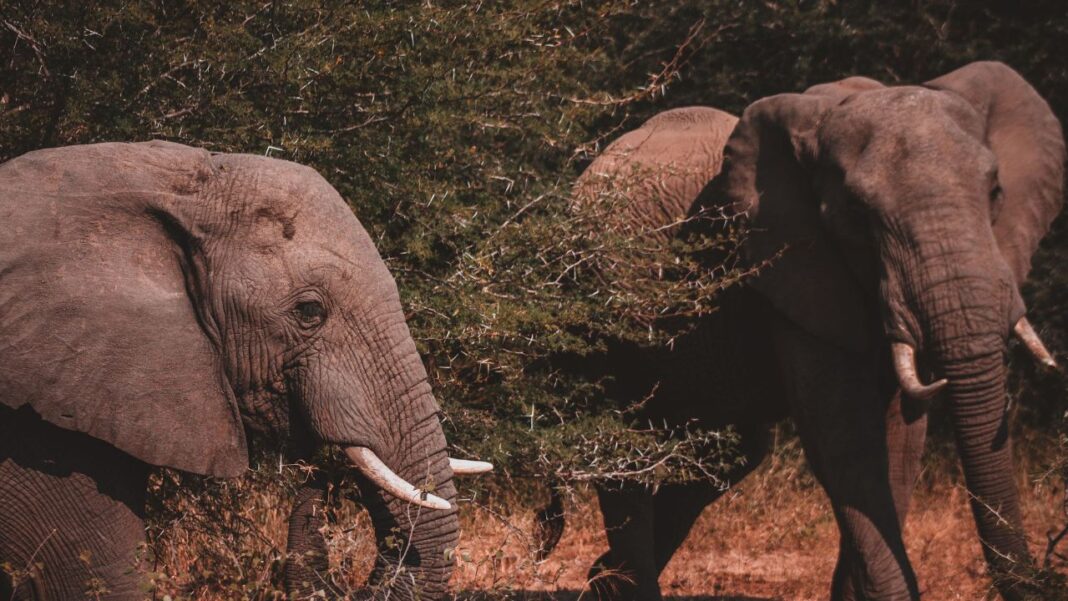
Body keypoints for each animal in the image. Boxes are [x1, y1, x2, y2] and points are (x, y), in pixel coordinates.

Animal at [571, 61, 1064, 601]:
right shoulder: (792, 262)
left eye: (995, 192)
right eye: (857, 215)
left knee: (734, 452)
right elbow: (845, 439)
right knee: (622, 447)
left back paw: (600, 578)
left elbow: (901, 443)